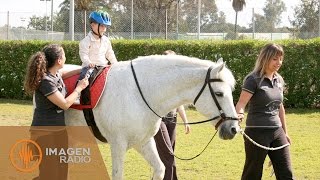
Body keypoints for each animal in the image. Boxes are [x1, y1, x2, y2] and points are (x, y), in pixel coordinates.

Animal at [65, 54, 239, 180]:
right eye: (219, 93)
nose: (234, 129)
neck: (138, 93)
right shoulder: (118, 144)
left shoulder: (143, 142)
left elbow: (160, 169)